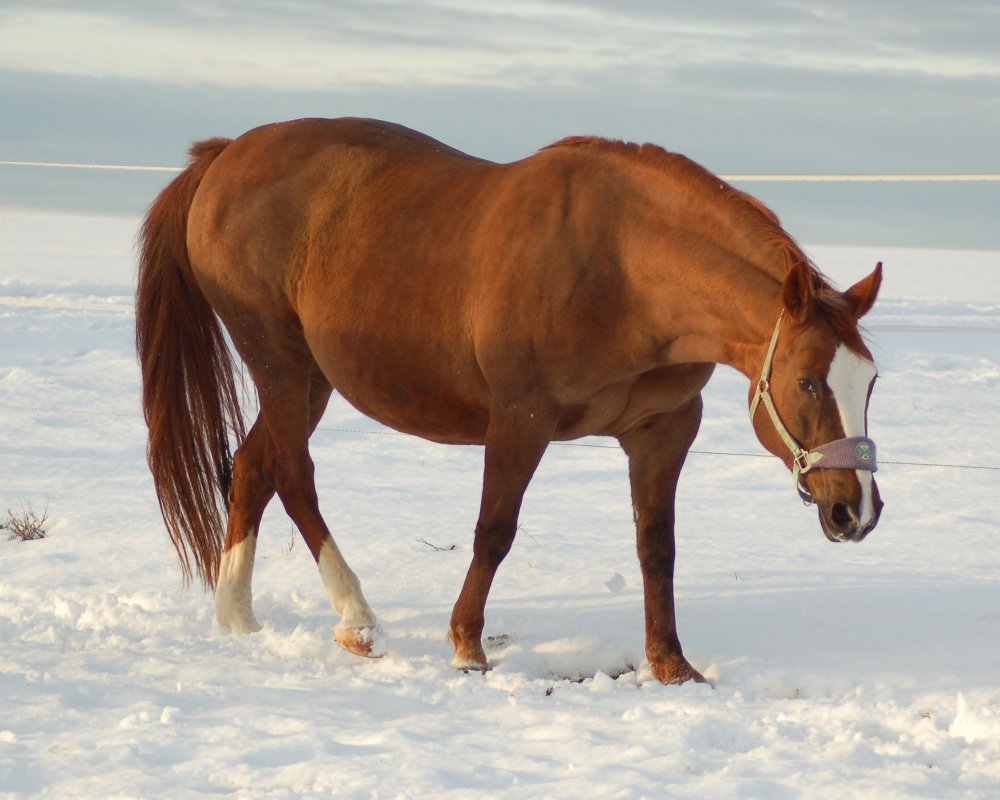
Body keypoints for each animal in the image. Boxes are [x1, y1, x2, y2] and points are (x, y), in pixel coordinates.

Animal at [136, 117, 883, 684]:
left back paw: (238, 614)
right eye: (808, 380)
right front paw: (468, 646)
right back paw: (356, 618)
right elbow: (494, 531)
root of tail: (226, 153)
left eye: (870, 381)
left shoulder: (664, 428)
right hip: (283, 366)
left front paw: (672, 665)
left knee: (251, 466)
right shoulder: (521, 418)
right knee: (292, 474)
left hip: (310, 379)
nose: (857, 511)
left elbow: (658, 546)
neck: (623, 266)